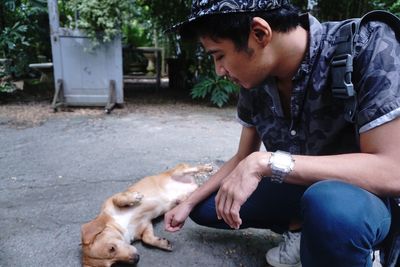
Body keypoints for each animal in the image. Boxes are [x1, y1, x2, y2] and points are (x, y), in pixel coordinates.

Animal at [81, 163, 212, 267]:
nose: (136, 259)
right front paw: (162, 243)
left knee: (193, 168)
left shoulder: (112, 200)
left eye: (111, 248)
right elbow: (147, 239)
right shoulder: (146, 224)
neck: (123, 226)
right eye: (114, 264)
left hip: (179, 171)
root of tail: (194, 183)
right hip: (190, 193)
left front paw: (134, 197)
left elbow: (119, 199)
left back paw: (207, 167)